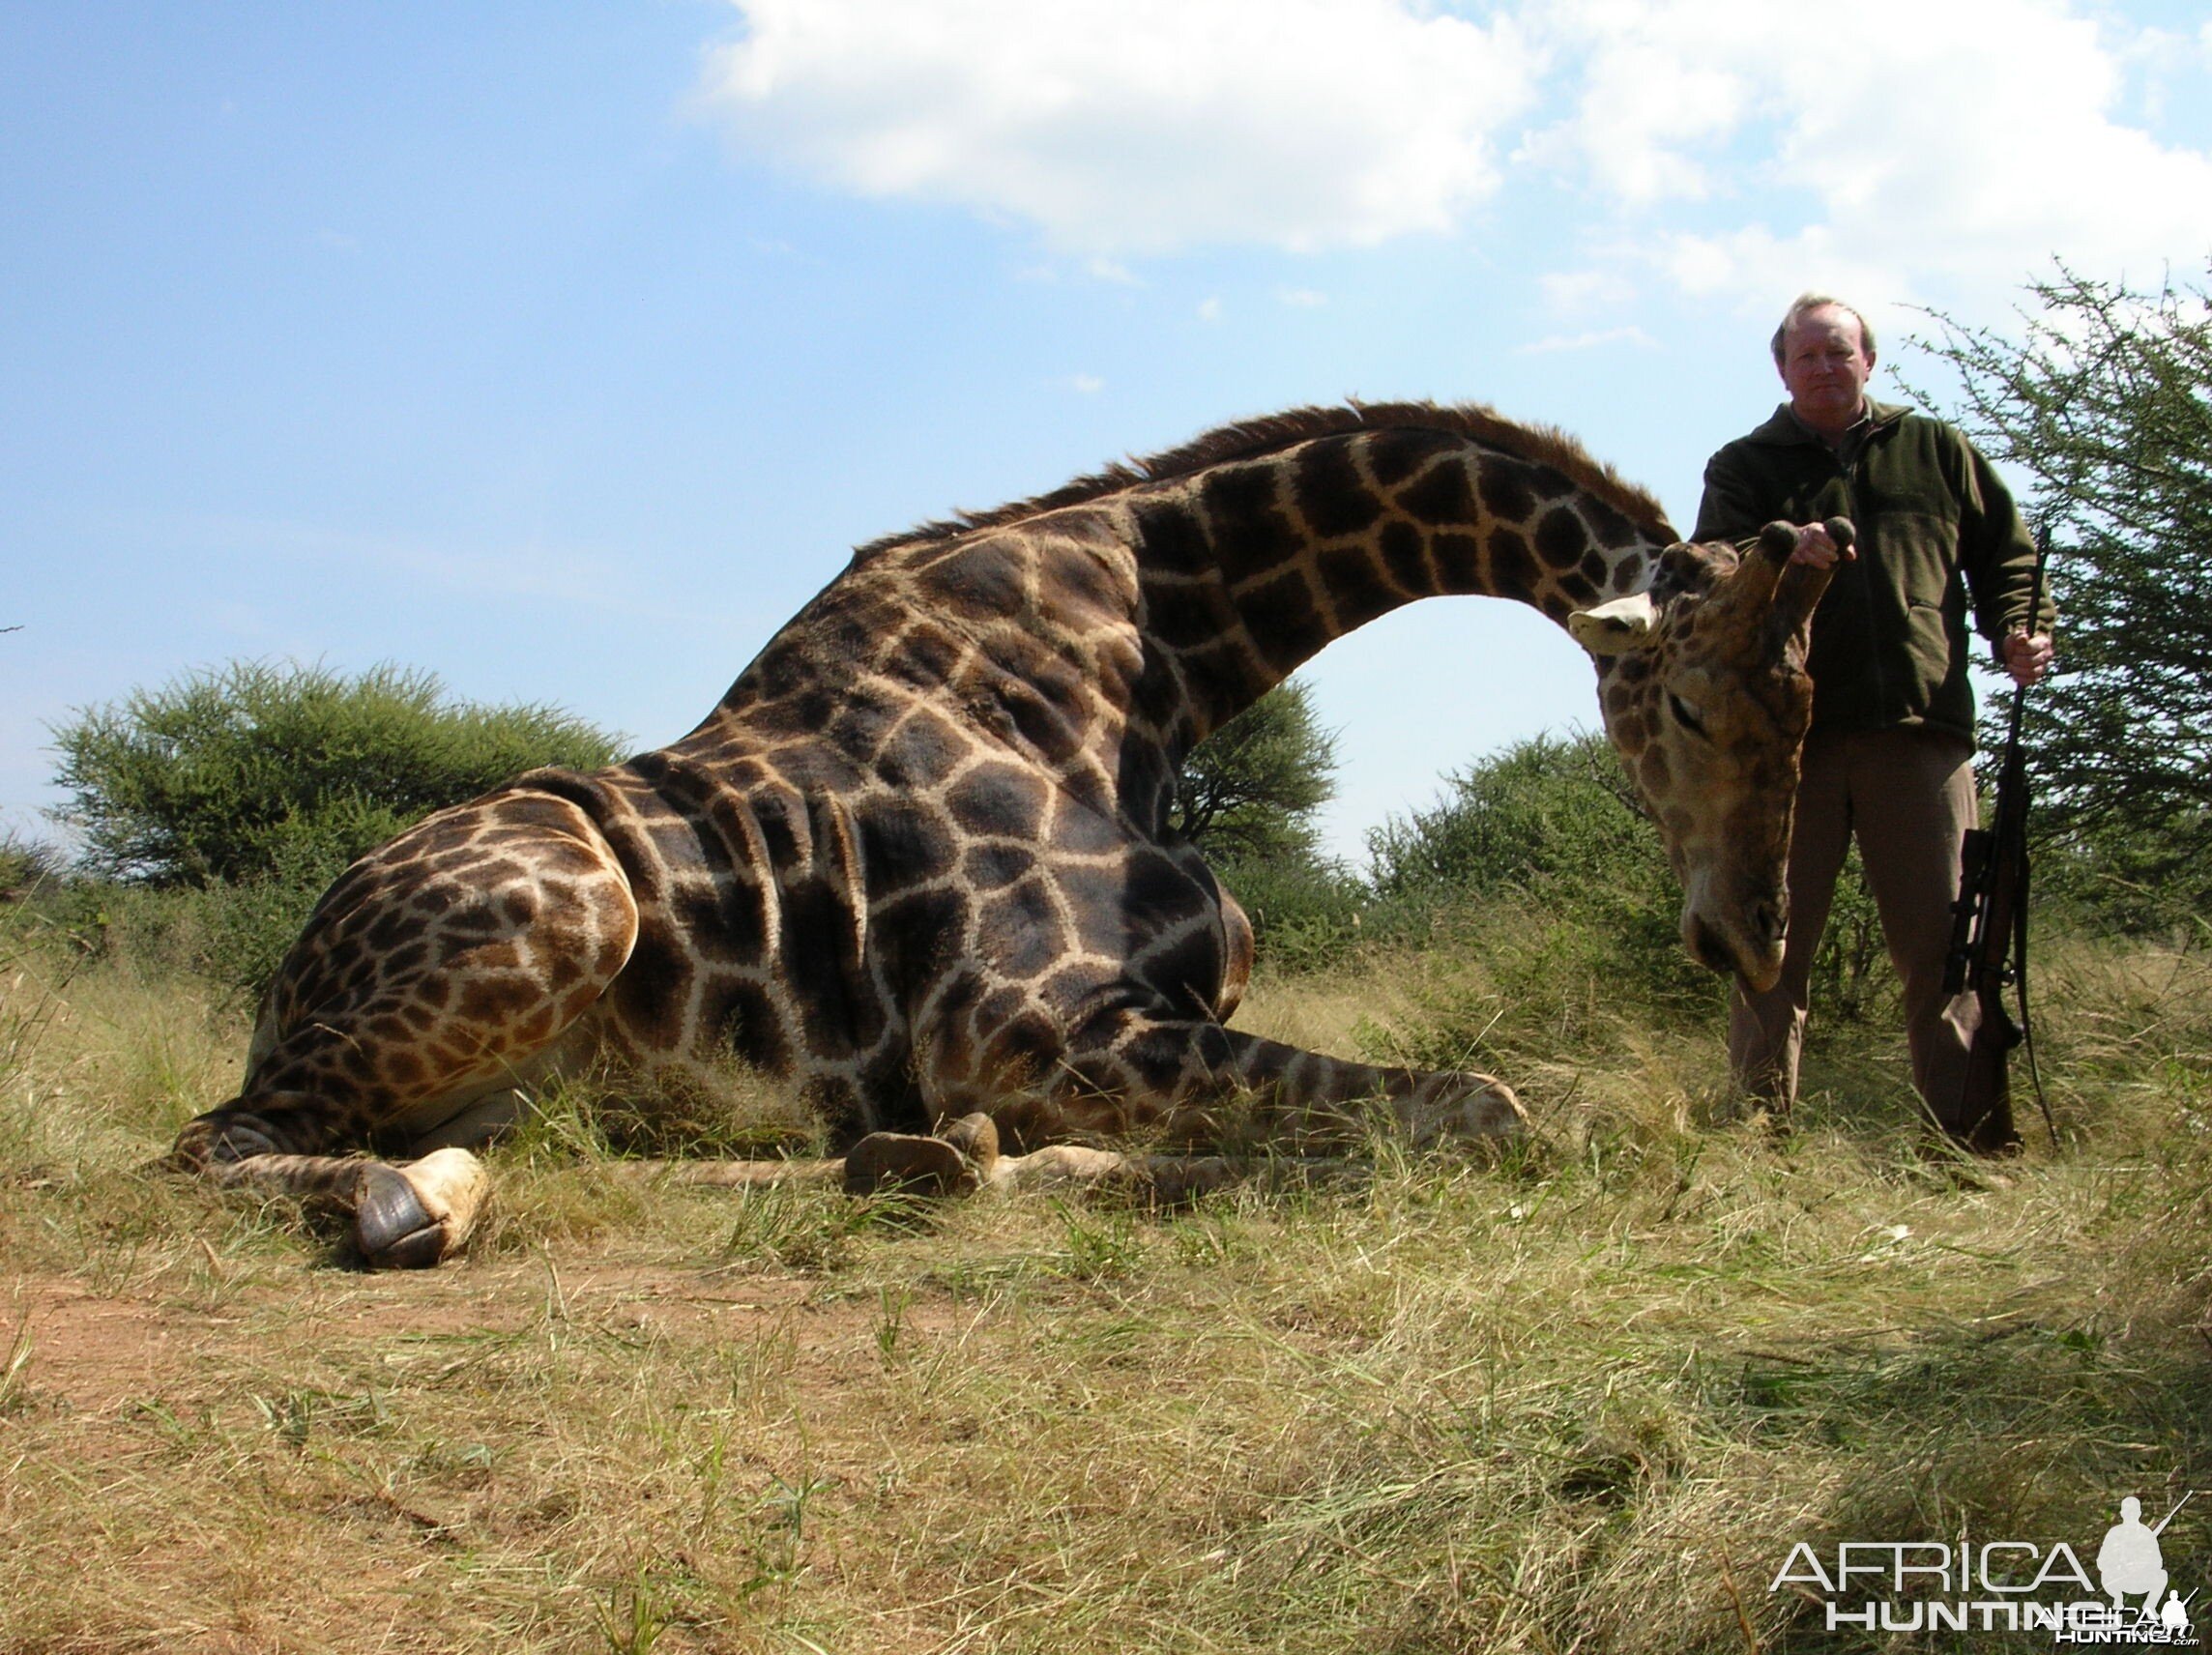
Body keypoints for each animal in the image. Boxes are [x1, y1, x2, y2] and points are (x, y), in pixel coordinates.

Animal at [167, 400, 1831, 1265]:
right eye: (1692, 708)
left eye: (1810, 707)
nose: (1749, 936)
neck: (1147, 663)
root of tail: (286, 970)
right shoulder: (1023, 1028)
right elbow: (1484, 1106)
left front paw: (978, 1162)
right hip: (570, 903)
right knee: (212, 1144)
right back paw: (414, 1201)